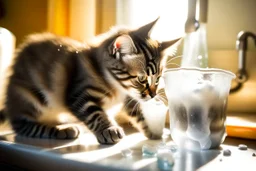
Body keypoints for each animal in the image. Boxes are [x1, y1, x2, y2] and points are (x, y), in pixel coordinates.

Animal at [0, 19, 180, 144]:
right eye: (141, 79)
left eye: (157, 79)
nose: (153, 95)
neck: (117, 87)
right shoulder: (79, 94)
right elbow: (95, 114)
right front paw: (109, 130)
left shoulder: (129, 97)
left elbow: (139, 114)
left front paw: (153, 131)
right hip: (31, 98)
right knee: (23, 125)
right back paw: (63, 130)